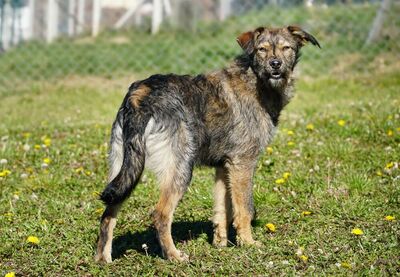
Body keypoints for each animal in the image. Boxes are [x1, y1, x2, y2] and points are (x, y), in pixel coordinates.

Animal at [95, 25, 320, 260]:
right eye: (262, 49)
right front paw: (248, 243)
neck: (256, 81)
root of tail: (141, 94)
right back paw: (174, 256)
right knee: (160, 214)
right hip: (180, 169)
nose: (275, 64)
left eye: (286, 48)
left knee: (108, 214)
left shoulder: (224, 167)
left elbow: (222, 211)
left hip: (123, 170)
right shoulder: (243, 164)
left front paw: (220, 245)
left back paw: (103, 259)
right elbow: (244, 209)